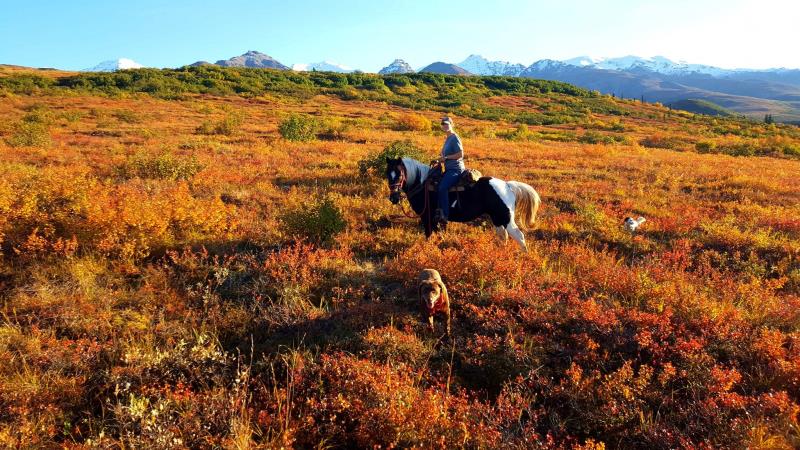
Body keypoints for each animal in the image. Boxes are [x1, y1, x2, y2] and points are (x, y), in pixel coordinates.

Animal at [384, 157, 540, 250]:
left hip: (506, 218)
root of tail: (507, 185)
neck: (423, 185)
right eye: (387, 174)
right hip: (496, 218)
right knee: (503, 236)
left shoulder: (426, 216)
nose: (394, 198)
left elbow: (429, 234)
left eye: (399, 174)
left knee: (519, 236)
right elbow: (438, 232)